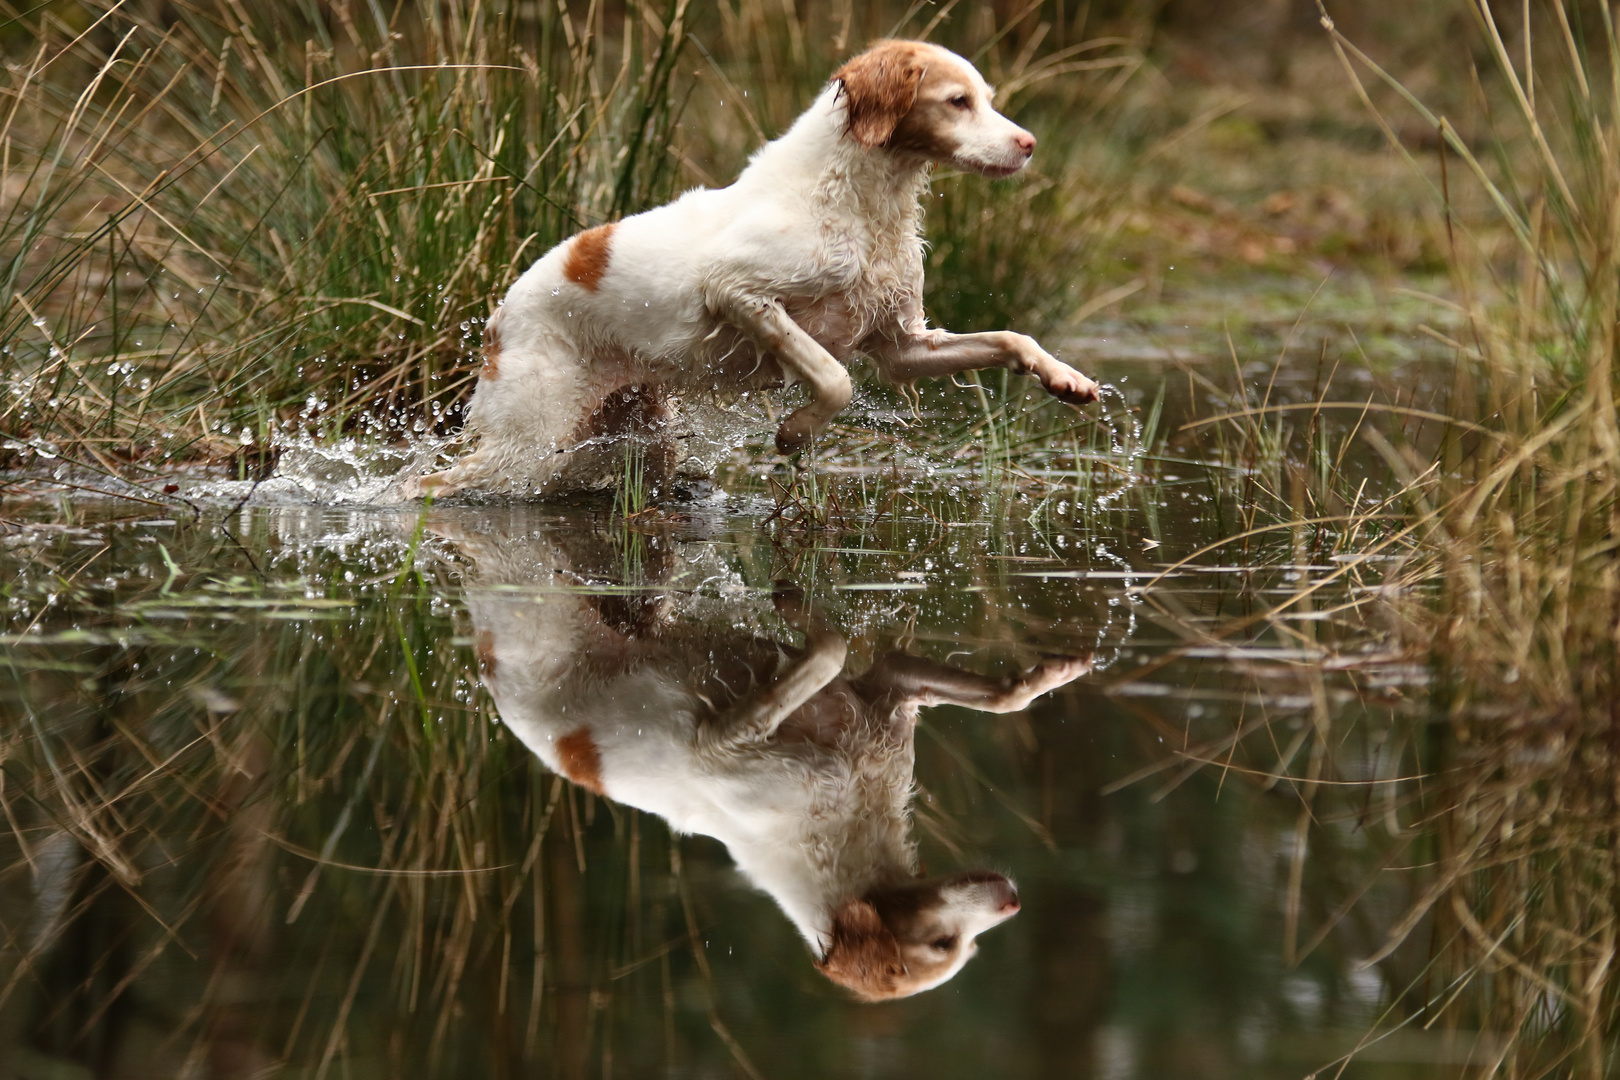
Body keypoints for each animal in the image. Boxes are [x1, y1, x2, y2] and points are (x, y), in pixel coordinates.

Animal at [411, 40, 1108, 501]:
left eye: (986, 99)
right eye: (957, 101)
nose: (1028, 145)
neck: (852, 205)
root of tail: (502, 312)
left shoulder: (901, 346)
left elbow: (1011, 338)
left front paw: (1066, 379)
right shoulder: (738, 292)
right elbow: (834, 379)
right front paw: (795, 435)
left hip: (630, 436)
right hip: (527, 446)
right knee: (430, 484)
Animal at [430, 518, 1088, 1003]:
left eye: (967, 950)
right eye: (945, 944)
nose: (1014, 900)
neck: (832, 835)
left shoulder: (885, 694)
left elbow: (1000, 699)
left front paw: (1053, 675)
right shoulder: (724, 741)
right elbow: (828, 647)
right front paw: (790, 599)